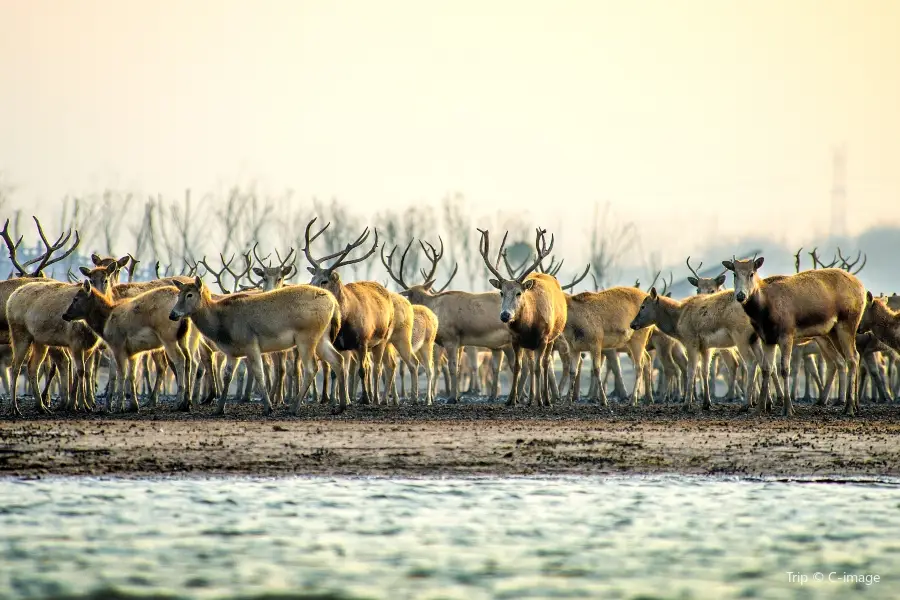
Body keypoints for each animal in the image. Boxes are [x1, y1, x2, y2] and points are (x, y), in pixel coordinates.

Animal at [474, 227, 568, 406]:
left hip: (552, 337)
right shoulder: (516, 339)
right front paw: (511, 399)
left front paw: (540, 400)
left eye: (519, 293)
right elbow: (517, 367)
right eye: (501, 292)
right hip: (529, 345)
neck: (529, 324)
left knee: (544, 364)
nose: (505, 315)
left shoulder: (543, 338)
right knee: (530, 364)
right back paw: (530, 399)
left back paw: (545, 399)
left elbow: (539, 367)